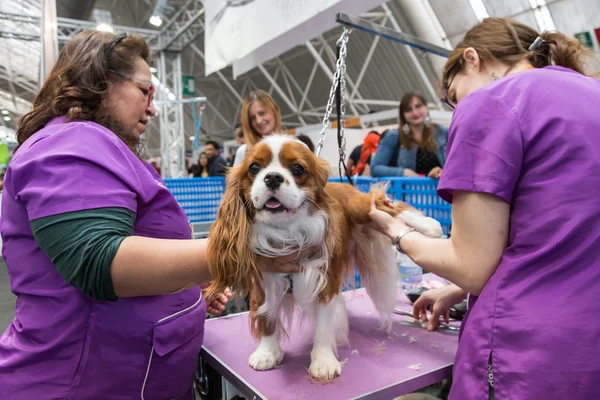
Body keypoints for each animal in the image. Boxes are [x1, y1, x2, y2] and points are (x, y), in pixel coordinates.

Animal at [206, 135, 440, 382]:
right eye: (254, 168)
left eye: (297, 169)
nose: (273, 178)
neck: (286, 232)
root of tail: (341, 183)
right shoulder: (264, 283)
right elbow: (267, 317)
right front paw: (267, 353)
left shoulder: (324, 282)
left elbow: (323, 324)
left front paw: (323, 361)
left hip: (360, 208)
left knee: (387, 207)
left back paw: (430, 226)